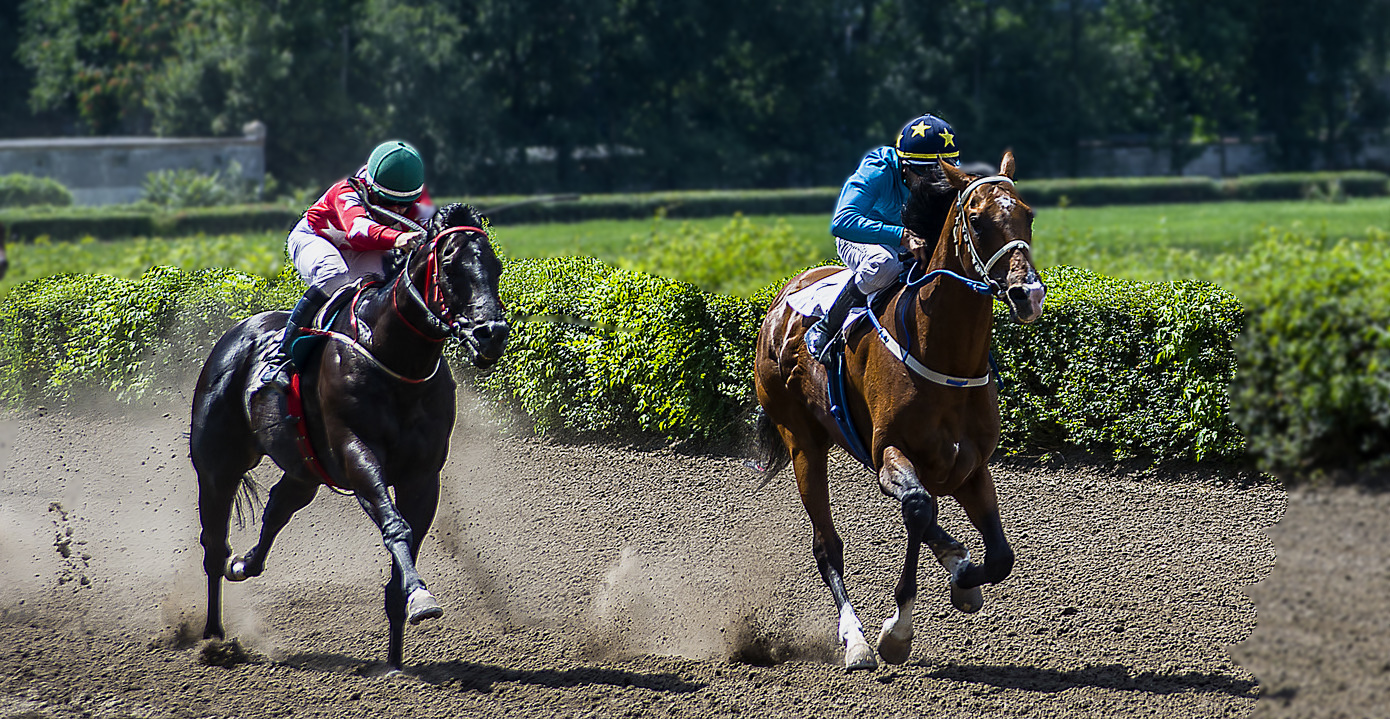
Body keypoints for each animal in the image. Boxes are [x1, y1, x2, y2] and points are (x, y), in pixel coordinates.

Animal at [761, 151, 1045, 667]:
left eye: (1028, 214)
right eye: (976, 219)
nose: (1026, 294)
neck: (947, 358)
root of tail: (783, 299)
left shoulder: (970, 464)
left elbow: (998, 556)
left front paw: (963, 578)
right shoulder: (890, 451)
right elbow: (917, 508)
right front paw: (896, 632)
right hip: (802, 441)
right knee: (827, 545)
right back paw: (854, 640)